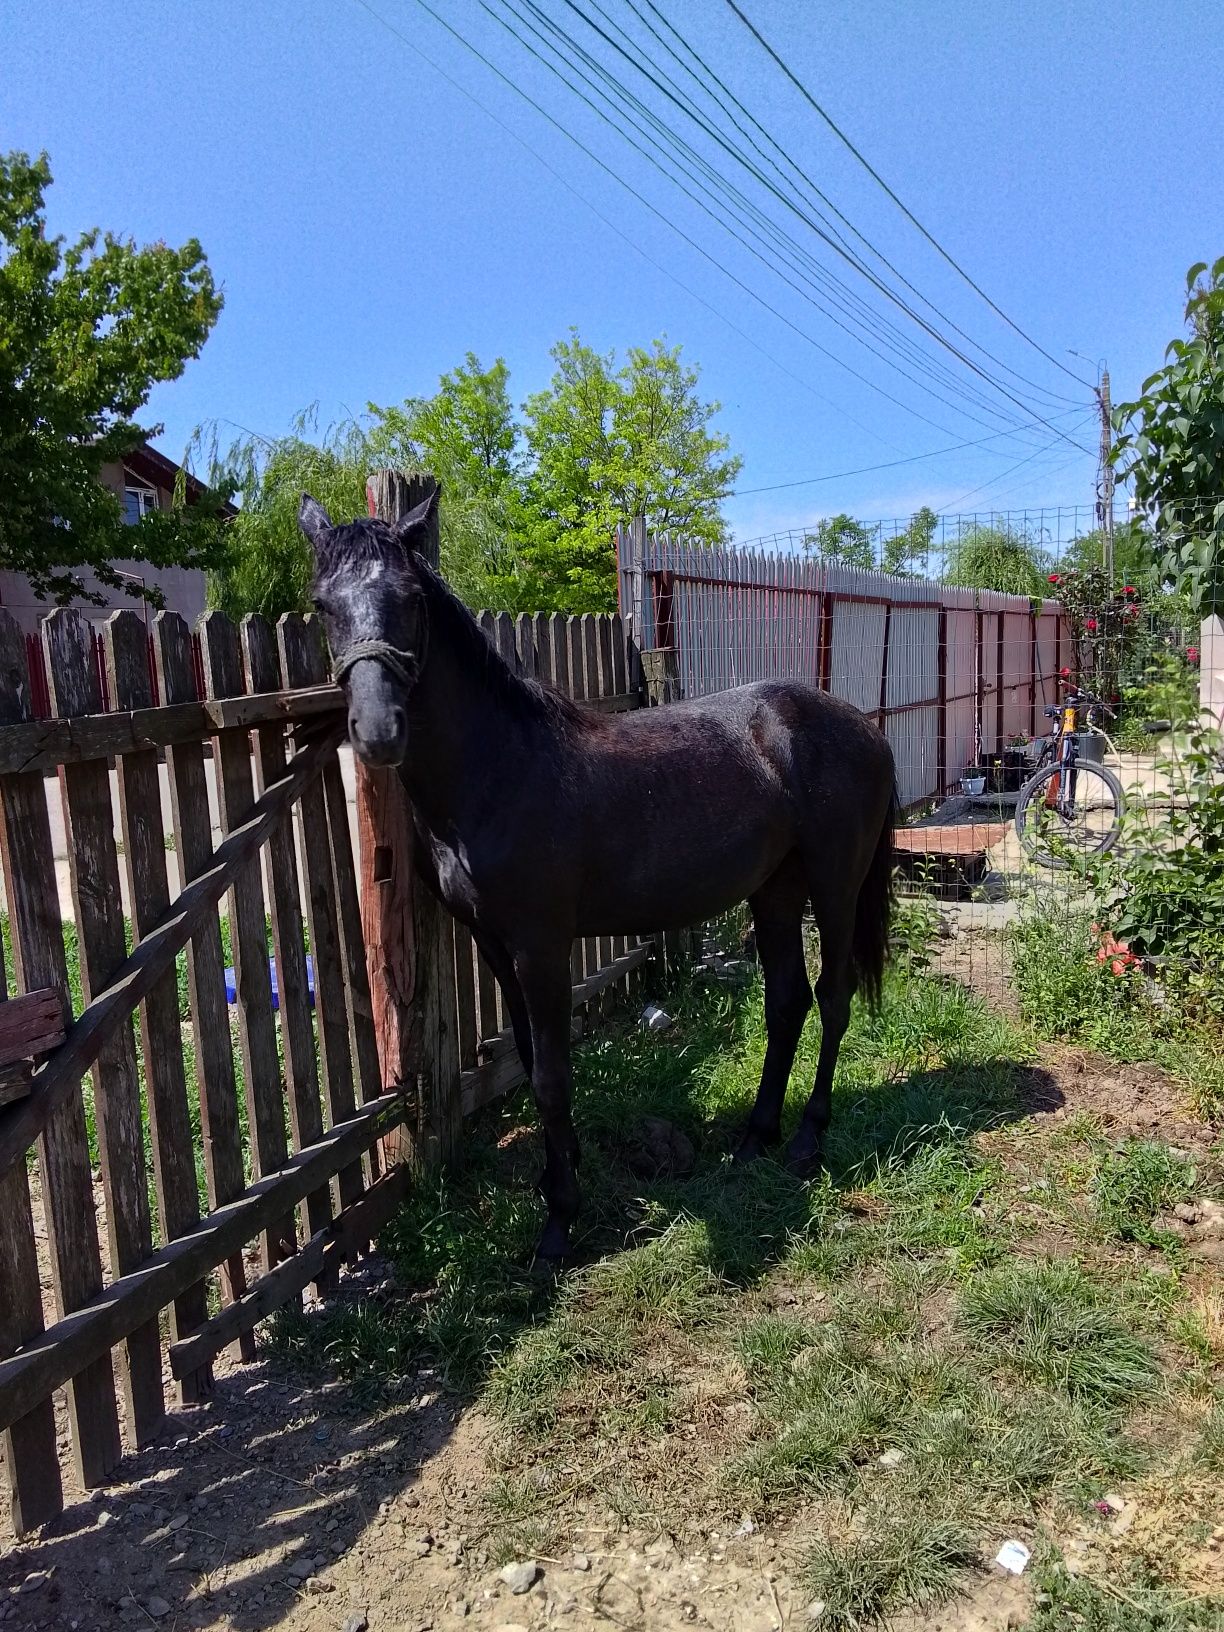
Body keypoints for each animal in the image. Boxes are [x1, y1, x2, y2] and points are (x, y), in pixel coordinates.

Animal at [301, 486, 894, 1259]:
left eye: (410, 598)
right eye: (322, 605)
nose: (377, 733)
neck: (498, 772)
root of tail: (863, 727)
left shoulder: (542, 947)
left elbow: (554, 1075)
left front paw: (559, 1221)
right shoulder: (495, 946)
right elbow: (529, 1060)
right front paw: (558, 1175)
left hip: (834, 884)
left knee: (833, 996)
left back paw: (805, 1140)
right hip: (775, 890)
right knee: (787, 1000)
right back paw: (754, 1137)